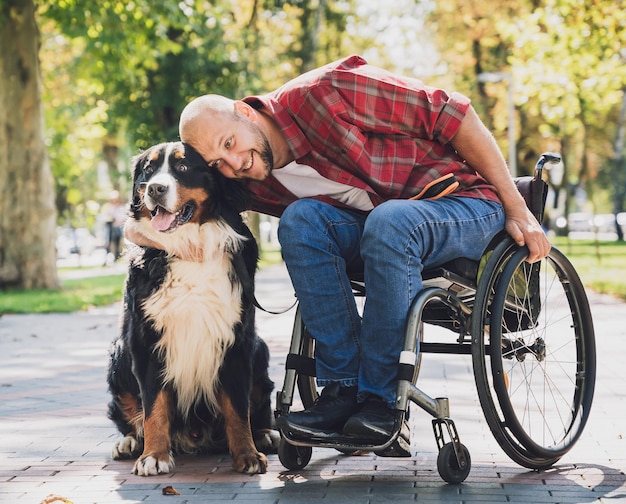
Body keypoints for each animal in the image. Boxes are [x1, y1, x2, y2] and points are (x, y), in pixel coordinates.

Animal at [106, 142, 276, 476]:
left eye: (183, 168)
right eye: (149, 169)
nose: (155, 189)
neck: (188, 247)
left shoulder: (236, 339)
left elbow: (239, 408)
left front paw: (247, 454)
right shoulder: (146, 341)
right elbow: (154, 407)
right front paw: (153, 455)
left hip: (259, 349)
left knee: (258, 409)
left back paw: (264, 435)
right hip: (119, 353)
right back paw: (130, 443)